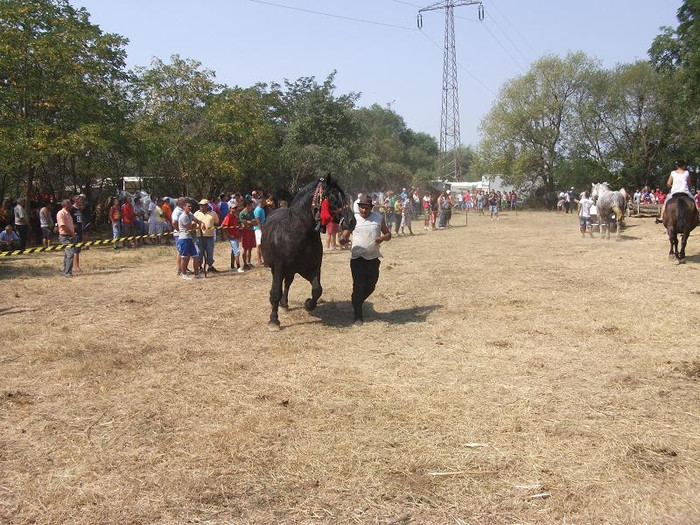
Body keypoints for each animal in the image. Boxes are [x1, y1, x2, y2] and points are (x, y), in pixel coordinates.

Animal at [262, 176, 348, 332]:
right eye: (332, 197)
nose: (351, 221)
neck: (297, 234)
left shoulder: (313, 268)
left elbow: (317, 289)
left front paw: (308, 304)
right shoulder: (279, 268)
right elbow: (275, 292)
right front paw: (274, 321)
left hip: (291, 271)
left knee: (288, 284)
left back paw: (284, 304)